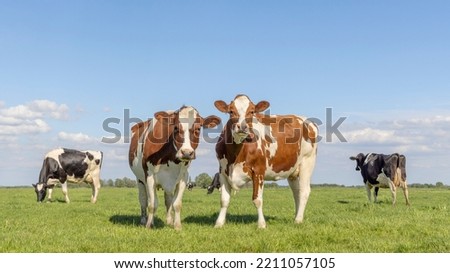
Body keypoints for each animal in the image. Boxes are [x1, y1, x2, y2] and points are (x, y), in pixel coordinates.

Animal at [213, 94, 318, 227]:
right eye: (231, 111)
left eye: (252, 111)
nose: (242, 127)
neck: (235, 156)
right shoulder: (222, 172)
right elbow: (224, 200)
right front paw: (219, 223)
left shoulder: (258, 171)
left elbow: (257, 200)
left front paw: (261, 224)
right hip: (292, 171)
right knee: (296, 192)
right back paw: (296, 216)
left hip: (307, 162)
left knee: (304, 191)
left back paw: (298, 220)